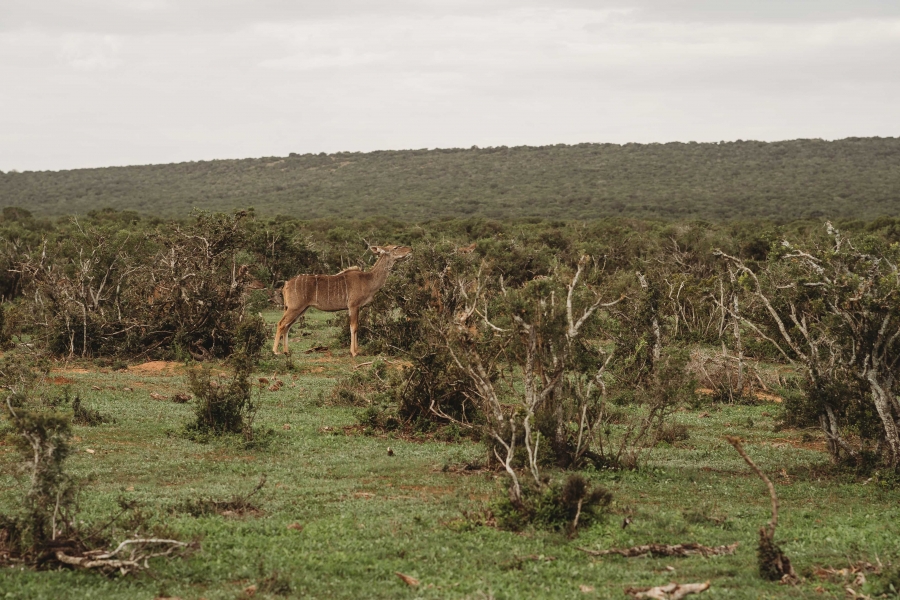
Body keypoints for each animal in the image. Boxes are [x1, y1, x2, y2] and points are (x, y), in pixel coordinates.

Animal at [272, 245, 414, 356]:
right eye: (395, 247)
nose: (410, 249)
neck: (367, 280)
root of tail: (286, 284)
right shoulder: (353, 305)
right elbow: (353, 327)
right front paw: (354, 352)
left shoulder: (357, 307)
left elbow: (356, 326)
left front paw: (356, 350)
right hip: (295, 307)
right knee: (281, 324)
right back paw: (275, 351)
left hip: (300, 309)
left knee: (287, 326)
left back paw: (286, 351)